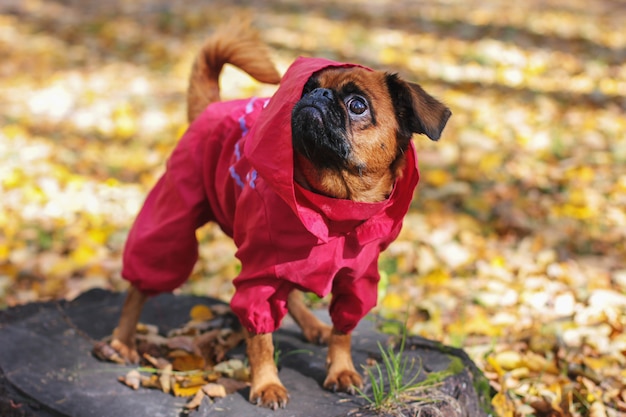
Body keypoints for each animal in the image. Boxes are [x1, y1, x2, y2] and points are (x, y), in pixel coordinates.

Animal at [107, 17, 448, 408]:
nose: (318, 96)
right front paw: (266, 384)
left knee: (294, 293)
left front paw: (341, 370)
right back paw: (121, 342)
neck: (335, 204)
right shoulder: (259, 277)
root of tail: (211, 108)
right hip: (173, 218)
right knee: (140, 285)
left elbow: (343, 330)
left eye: (358, 105)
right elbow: (261, 338)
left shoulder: (357, 280)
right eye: (307, 89)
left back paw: (314, 326)